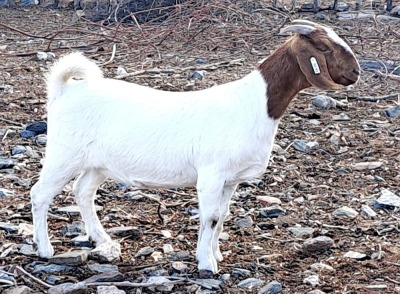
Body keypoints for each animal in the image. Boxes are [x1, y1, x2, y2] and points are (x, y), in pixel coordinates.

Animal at [32, 19, 360, 274]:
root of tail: (65, 90)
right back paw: (45, 249)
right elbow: (211, 217)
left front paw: (215, 254)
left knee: (83, 192)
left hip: (97, 163)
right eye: (325, 48)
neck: (255, 103)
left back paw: (102, 240)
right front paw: (206, 265)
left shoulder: (230, 180)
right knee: (40, 194)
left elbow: (221, 217)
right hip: (63, 154)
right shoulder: (212, 175)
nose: (355, 73)